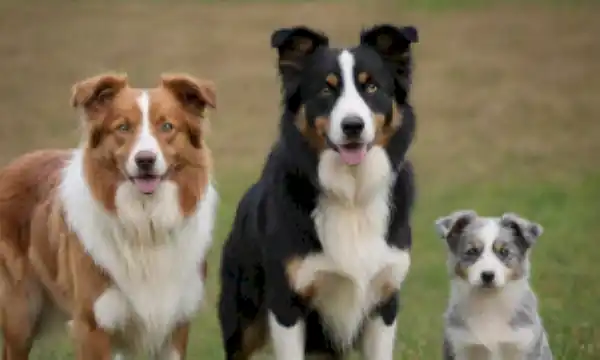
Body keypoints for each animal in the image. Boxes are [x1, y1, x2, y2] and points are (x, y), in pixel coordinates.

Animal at [0, 73, 218, 360]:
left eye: (167, 126)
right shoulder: (94, 326)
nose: (145, 160)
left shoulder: (175, 326)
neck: (145, 224)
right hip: (20, 315)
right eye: (123, 127)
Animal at [218, 23, 420, 358]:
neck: (350, 196)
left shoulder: (384, 301)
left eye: (371, 87)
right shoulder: (286, 304)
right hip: (243, 323)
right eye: (327, 90)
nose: (353, 126)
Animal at [434, 211, 552, 360]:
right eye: (472, 251)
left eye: (504, 252)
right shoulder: (460, 345)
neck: (490, 302)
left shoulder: (523, 344)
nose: (488, 275)